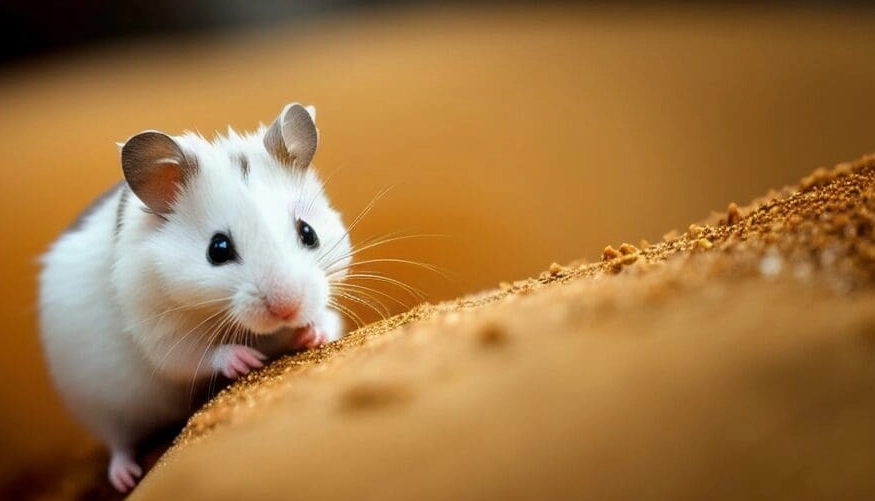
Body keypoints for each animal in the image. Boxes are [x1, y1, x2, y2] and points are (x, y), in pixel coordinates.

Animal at [38, 103, 352, 492]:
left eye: (308, 233)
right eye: (217, 250)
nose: (287, 308)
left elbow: (328, 318)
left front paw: (312, 334)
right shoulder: (162, 338)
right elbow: (198, 356)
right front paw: (246, 360)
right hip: (101, 405)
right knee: (119, 443)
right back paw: (126, 478)